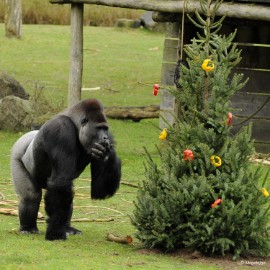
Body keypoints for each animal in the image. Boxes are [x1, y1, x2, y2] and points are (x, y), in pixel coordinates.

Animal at [10, 99, 121, 240]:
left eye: (105, 129)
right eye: (98, 128)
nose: (105, 138)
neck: (75, 124)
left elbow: (99, 190)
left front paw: (108, 154)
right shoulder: (61, 131)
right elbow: (60, 180)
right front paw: (56, 233)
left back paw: (67, 228)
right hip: (17, 152)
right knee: (31, 196)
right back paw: (28, 228)